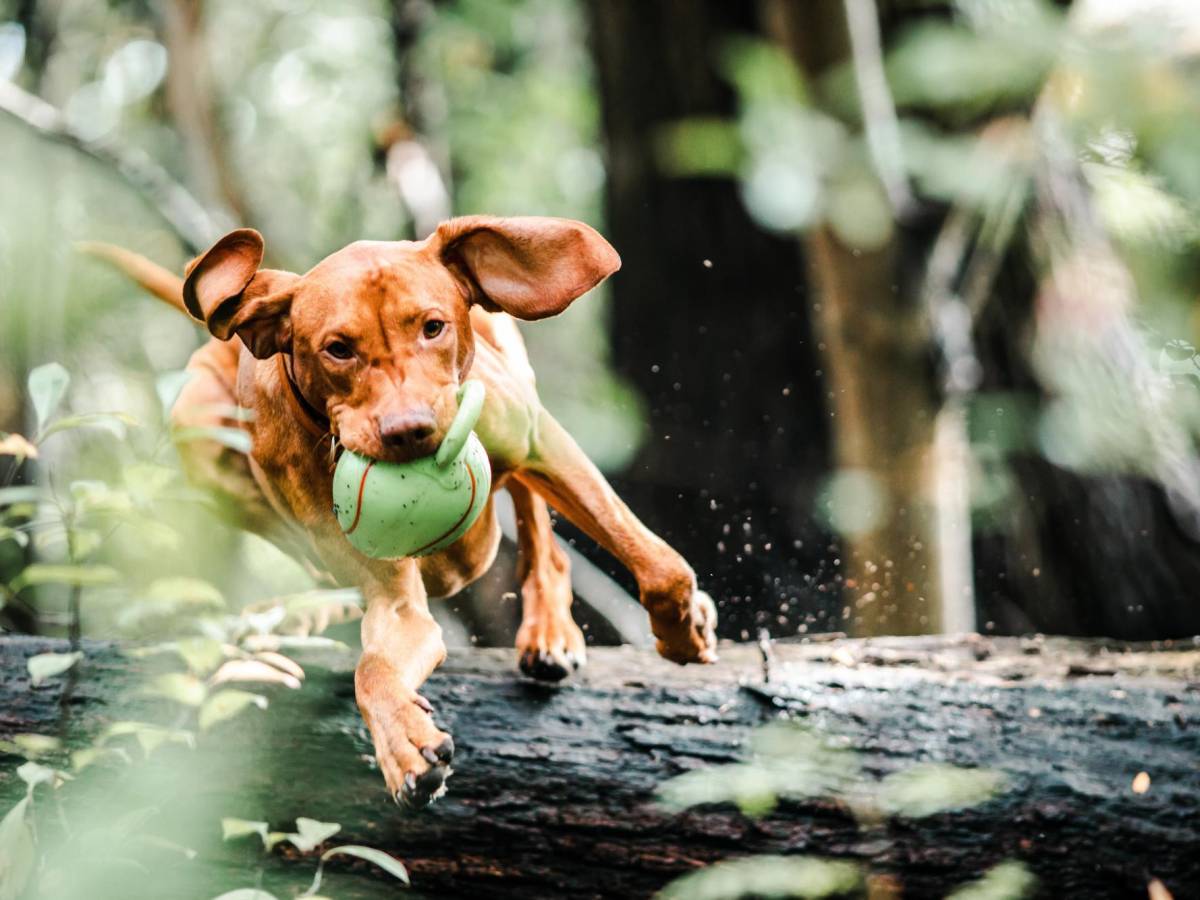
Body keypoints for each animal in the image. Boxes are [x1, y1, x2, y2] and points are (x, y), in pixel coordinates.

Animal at [93, 218, 715, 811]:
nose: (410, 430)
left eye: (432, 327)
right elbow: (373, 667)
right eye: (338, 348)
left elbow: (660, 567)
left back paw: (549, 629)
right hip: (198, 425)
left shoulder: (540, 443)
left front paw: (683, 632)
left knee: (538, 526)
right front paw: (404, 746)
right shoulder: (394, 600)